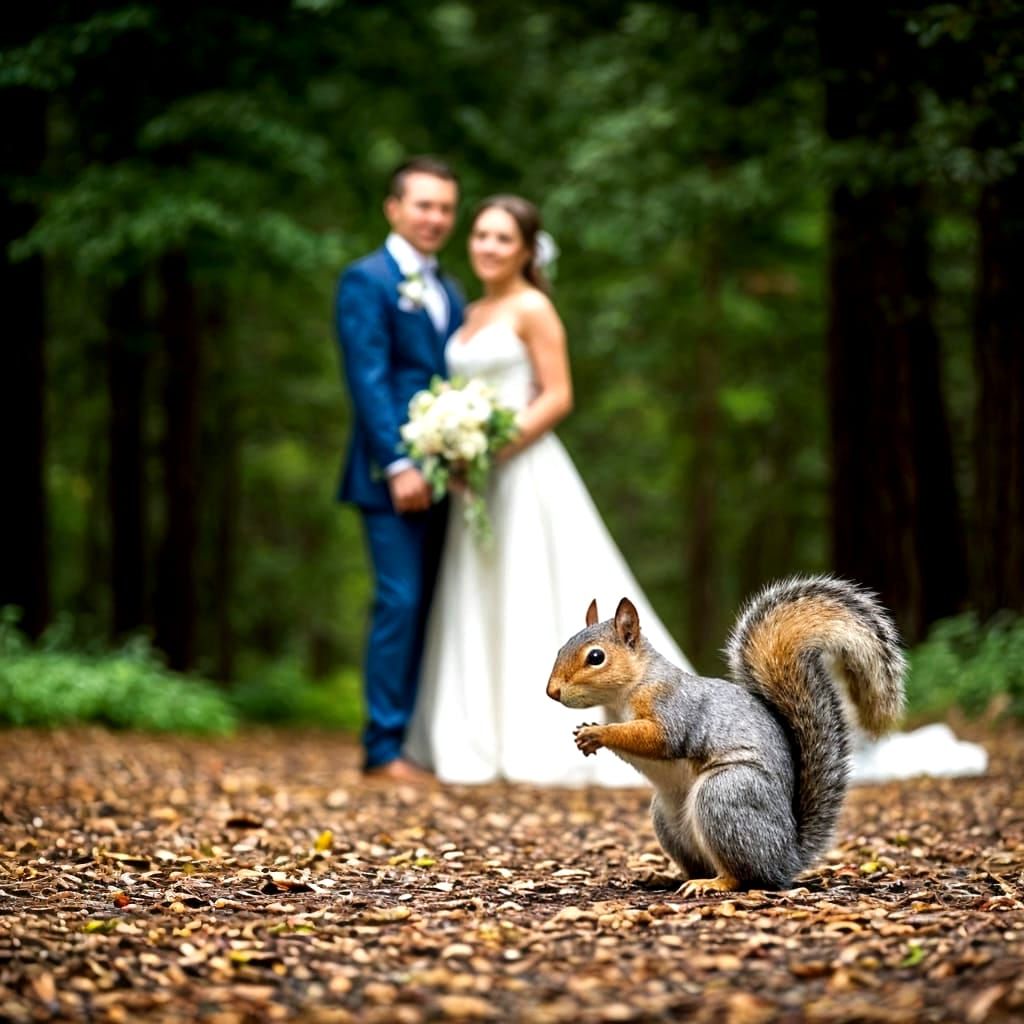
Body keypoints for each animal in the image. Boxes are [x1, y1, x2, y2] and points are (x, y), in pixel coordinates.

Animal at [545, 575, 906, 896]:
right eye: (561, 647)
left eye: (596, 657)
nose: (551, 692)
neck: (626, 693)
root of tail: (787, 854)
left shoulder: (673, 710)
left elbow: (657, 737)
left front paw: (598, 733)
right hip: (668, 817)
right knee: (702, 865)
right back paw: (665, 878)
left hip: (724, 796)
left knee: (744, 876)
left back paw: (713, 884)